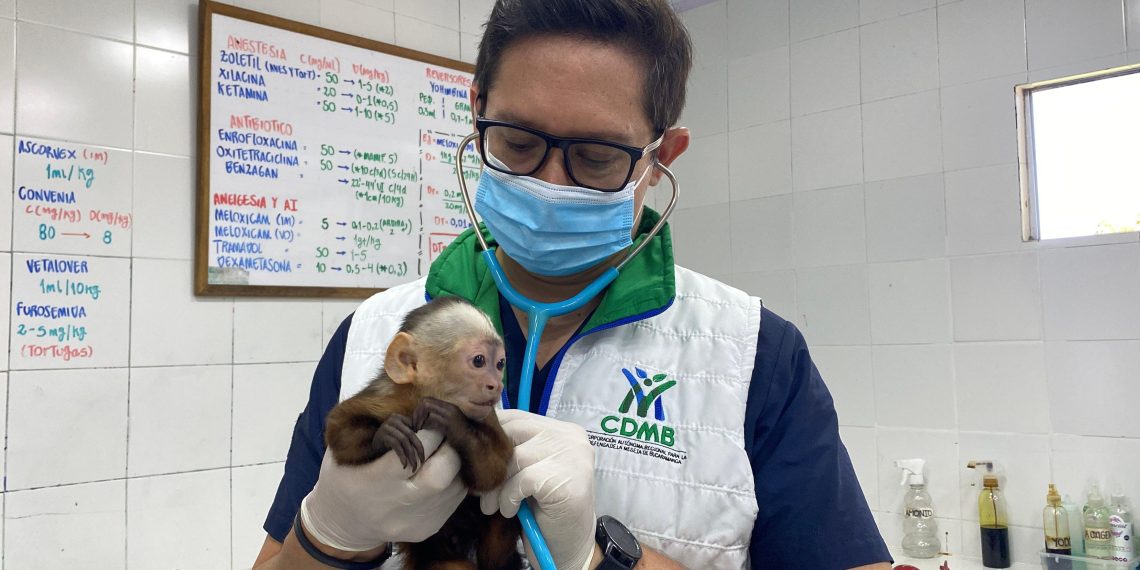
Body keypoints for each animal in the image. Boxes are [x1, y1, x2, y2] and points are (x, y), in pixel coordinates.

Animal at [324, 296, 523, 570]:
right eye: (479, 361)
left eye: (500, 364)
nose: (496, 384)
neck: (421, 396)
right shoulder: (387, 395)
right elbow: (338, 429)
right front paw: (388, 433)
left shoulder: (486, 416)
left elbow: (493, 471)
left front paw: (453, 422)